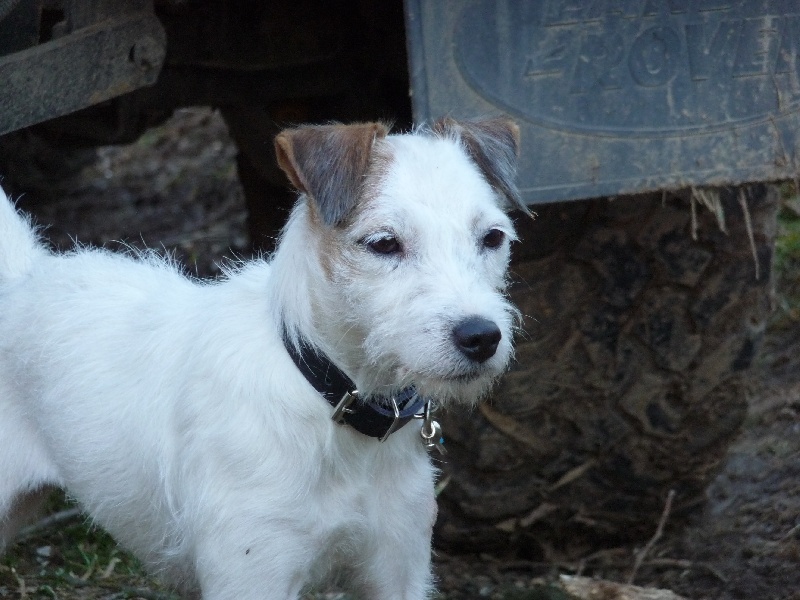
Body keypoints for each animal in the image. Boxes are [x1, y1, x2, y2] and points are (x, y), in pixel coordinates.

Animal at [0, 116, 524, 596]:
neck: (327, 396)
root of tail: (24, 276)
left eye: (493, 238)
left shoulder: (398, 567)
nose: (481, 336)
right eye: (384, 243)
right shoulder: (253, 573)